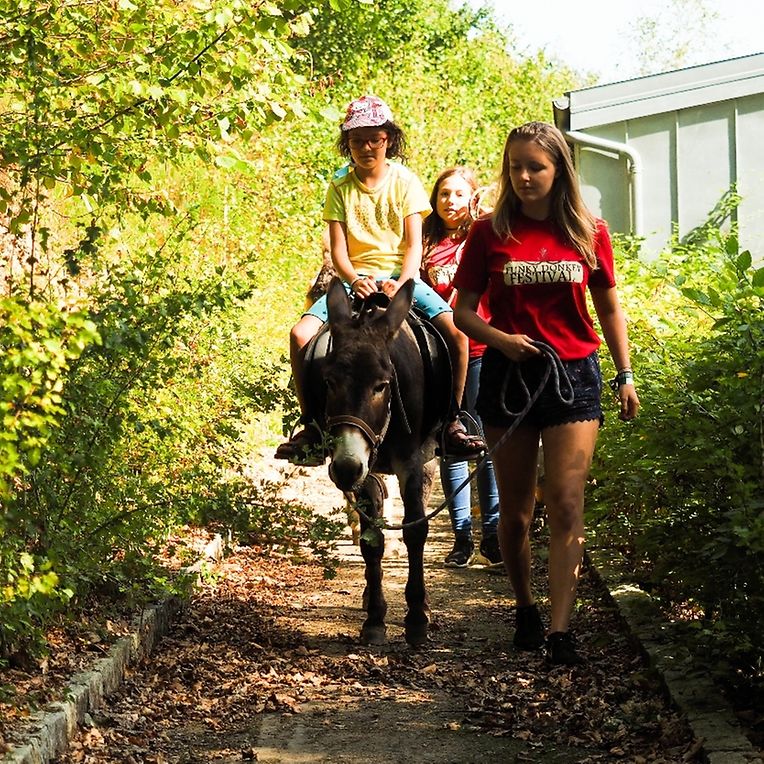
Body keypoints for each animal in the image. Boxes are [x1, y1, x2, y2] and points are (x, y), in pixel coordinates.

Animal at [305, 277, 451, 647]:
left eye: (382, 385)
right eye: (328, 381)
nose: (346, 468)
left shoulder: (416, 463)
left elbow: (416, 529)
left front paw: (417, 617)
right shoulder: (362, 470)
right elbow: (371, 539)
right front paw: (374, 618)